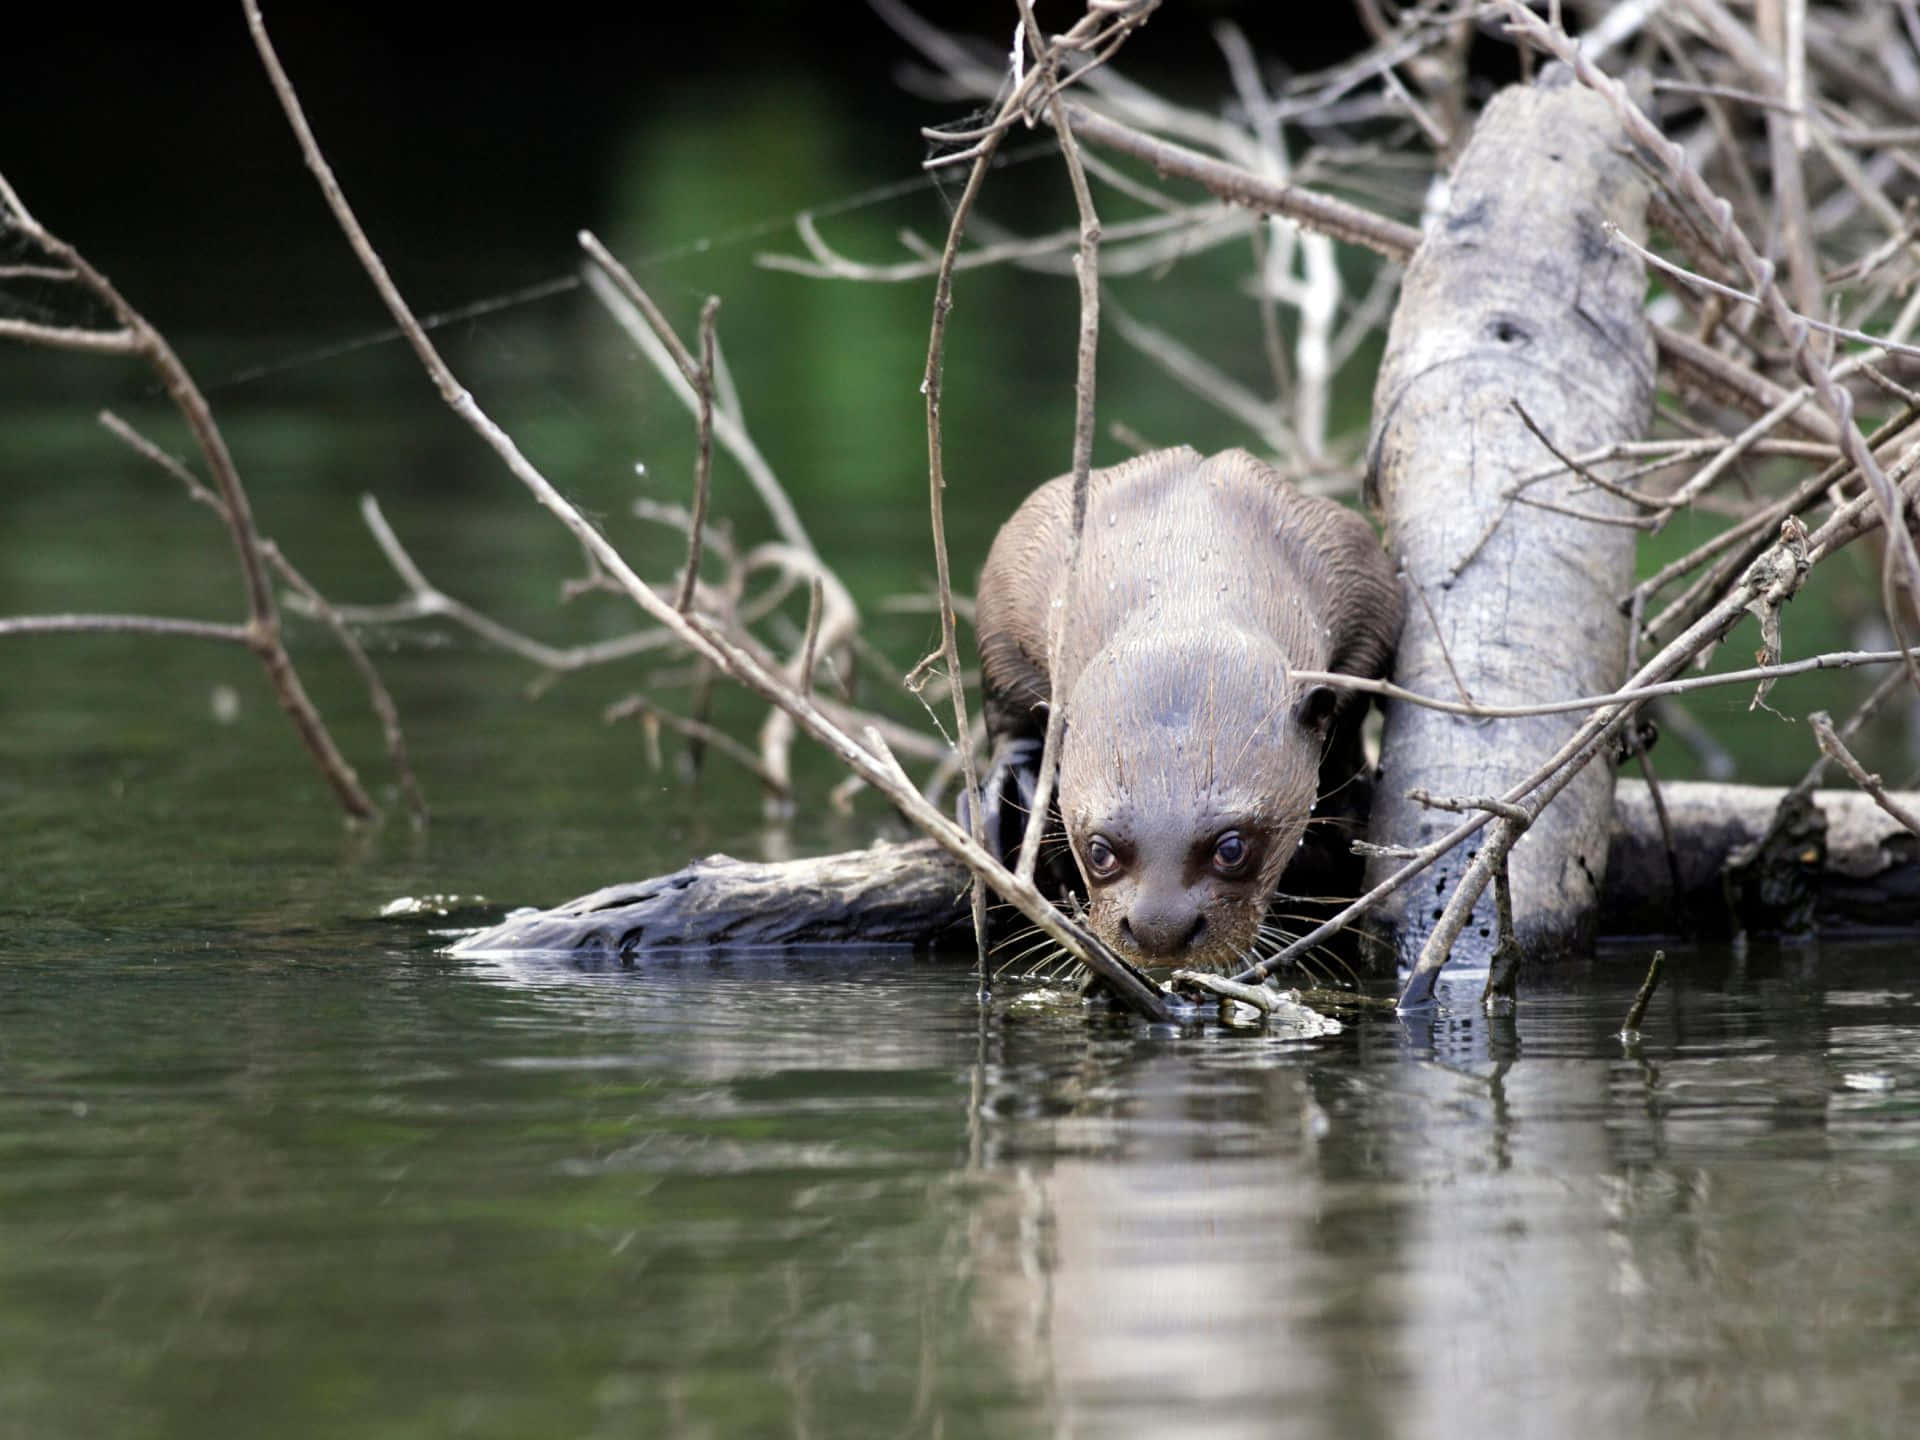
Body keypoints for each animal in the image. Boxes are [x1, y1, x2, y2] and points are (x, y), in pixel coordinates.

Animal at [983, 445, 1405, 975]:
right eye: (1099, 851)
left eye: (1232, 847)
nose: (1160, 929)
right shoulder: (1015, 579)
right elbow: (1006, 704)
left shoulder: (1365, 592)